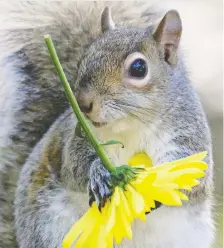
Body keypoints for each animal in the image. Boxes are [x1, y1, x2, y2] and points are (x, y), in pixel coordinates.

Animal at [0, 1, 215, 248]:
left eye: (139, 68)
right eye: (83, 59)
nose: (83, 103)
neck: (131, 126)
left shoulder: (190, 136)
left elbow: (189, 175)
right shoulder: (76, 138)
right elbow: (74, 166)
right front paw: (100, 173)